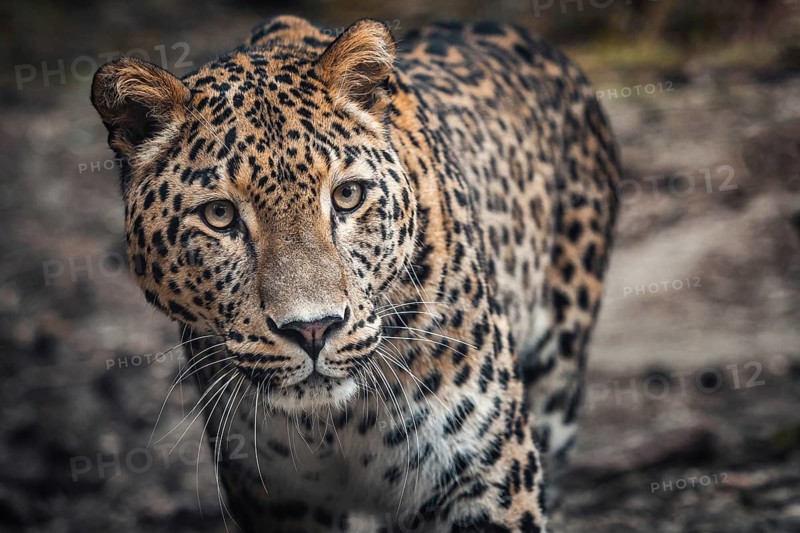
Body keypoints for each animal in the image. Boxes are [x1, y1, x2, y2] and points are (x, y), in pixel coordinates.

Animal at [91, 15, 619, 532]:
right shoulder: (276, 501)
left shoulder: (483, 476)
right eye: (220, 215)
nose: (312, 329)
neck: (332, 425)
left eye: (347, 196)